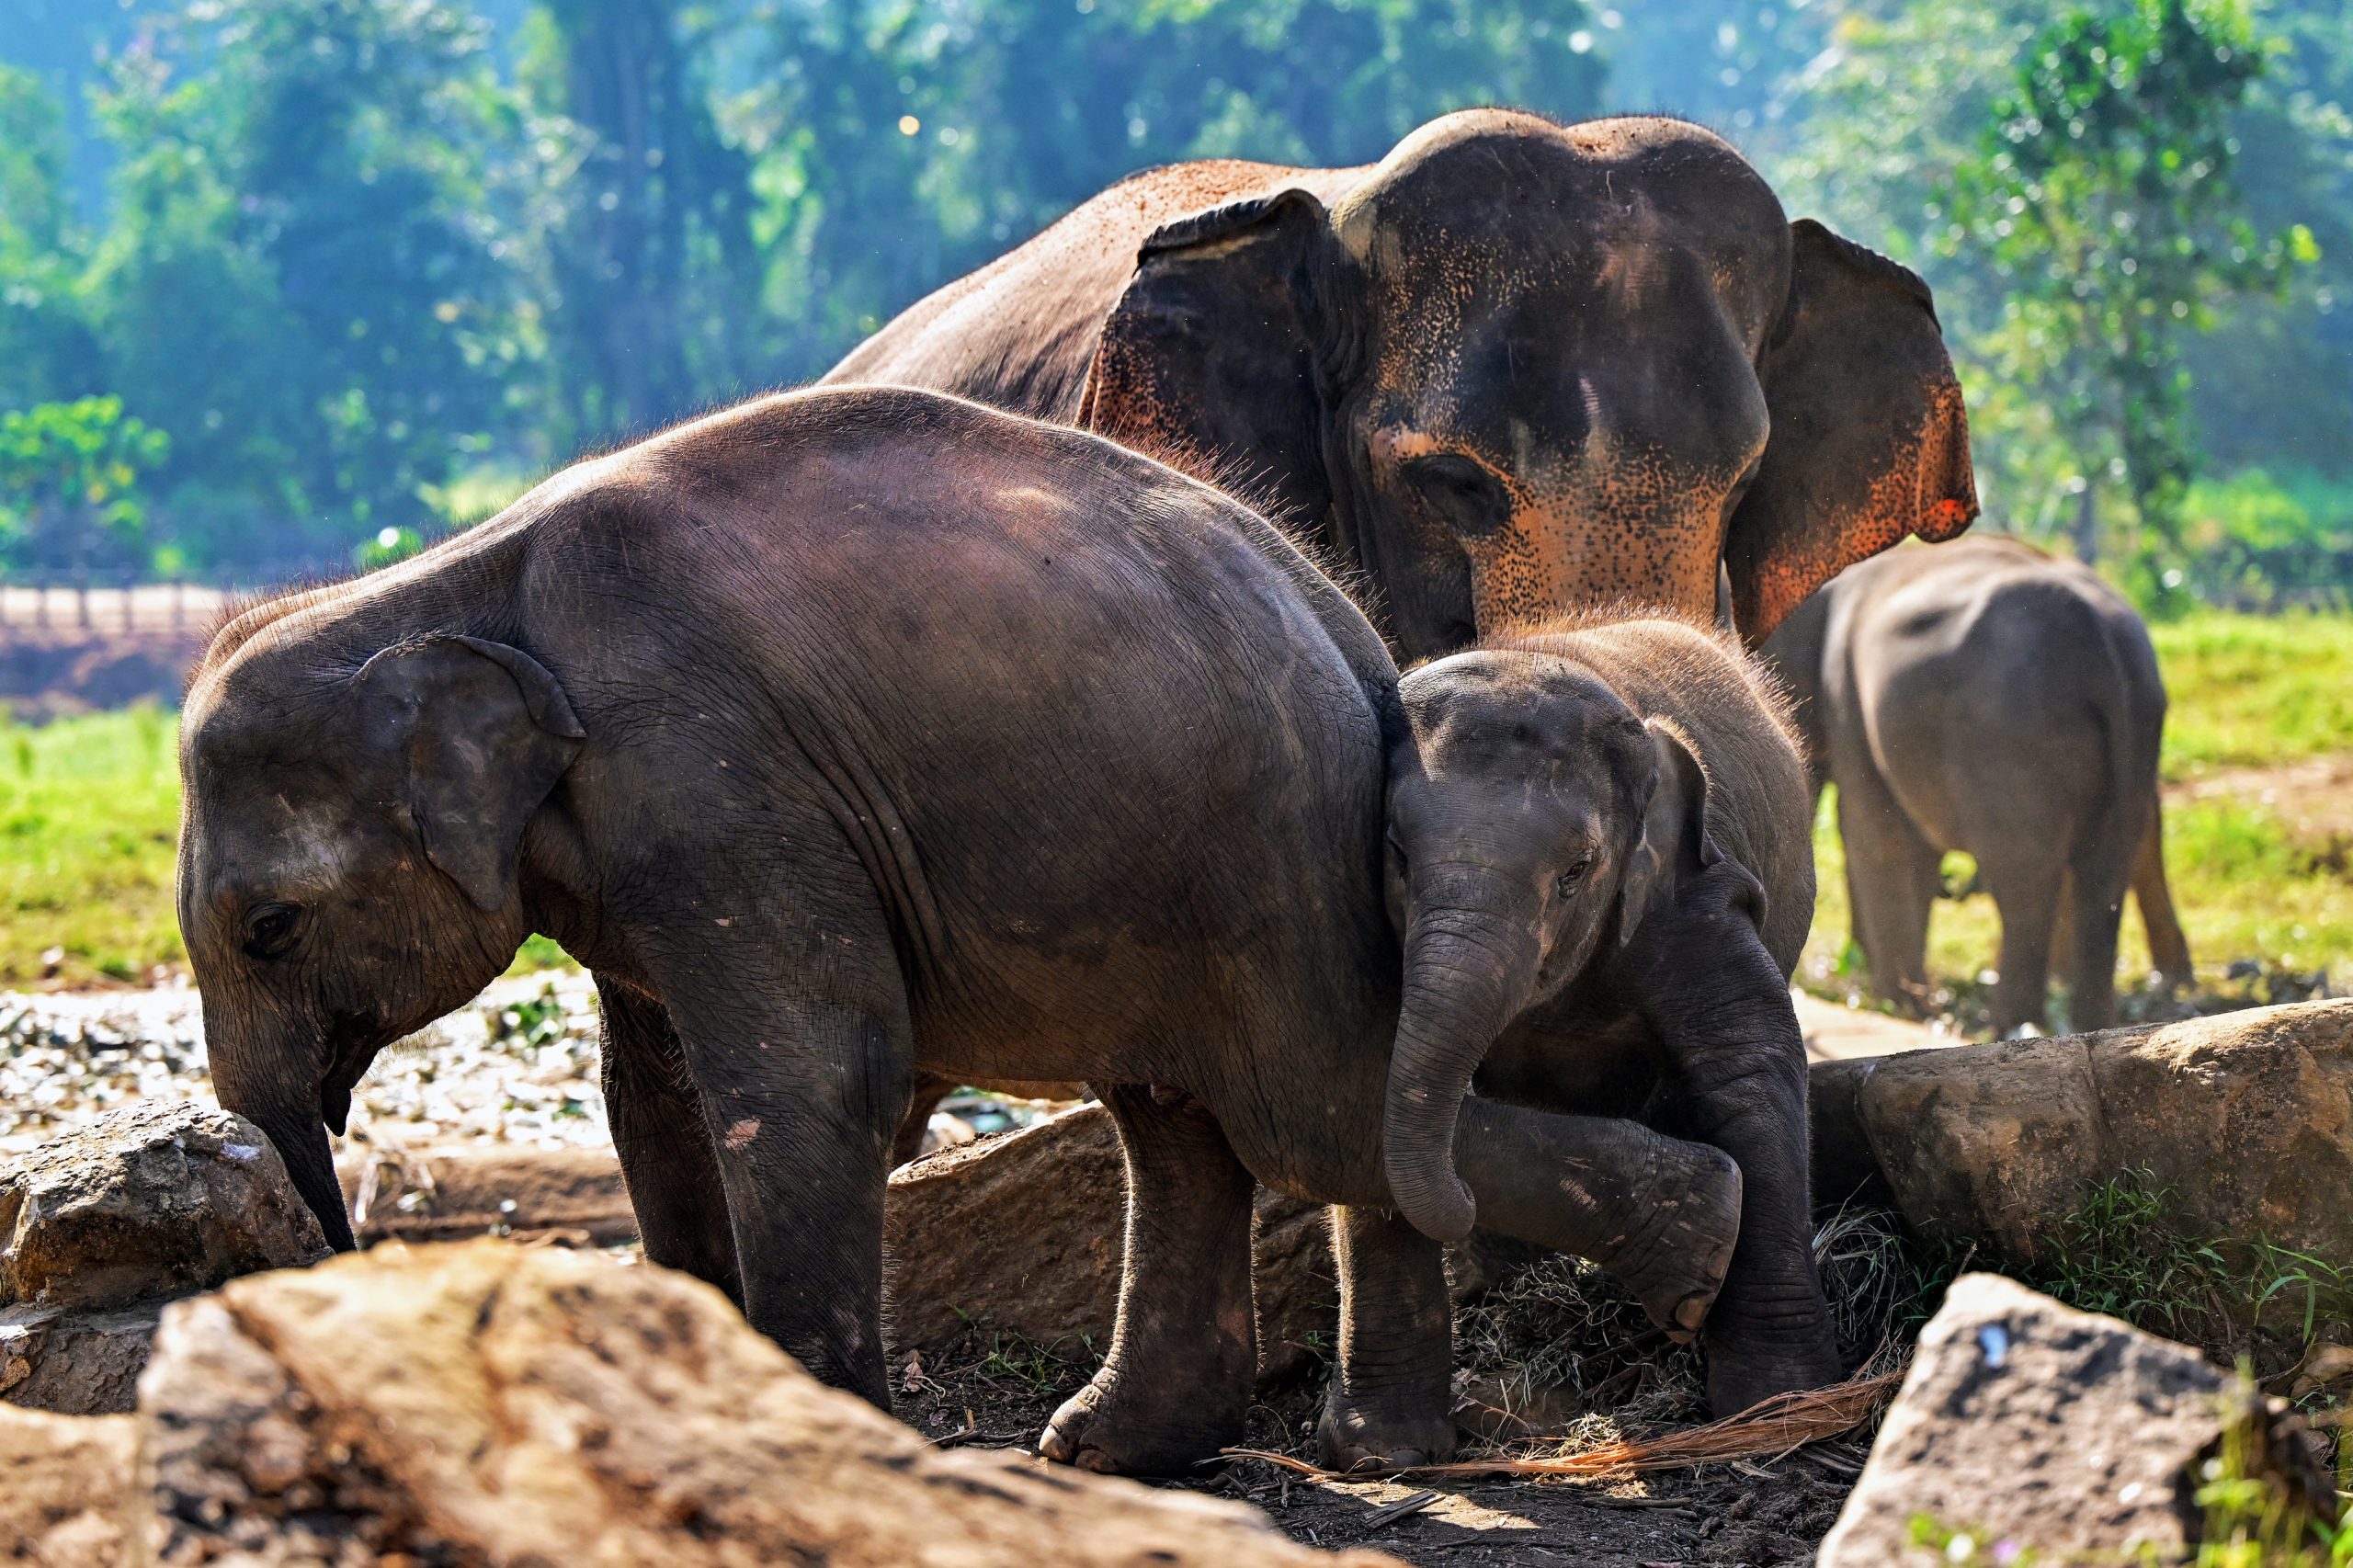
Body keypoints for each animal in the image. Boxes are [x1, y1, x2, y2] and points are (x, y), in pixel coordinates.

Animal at [177, 384, 1776, 1478]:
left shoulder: (704, 770)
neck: (444, 583)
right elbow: (655, 1093)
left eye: (267, 928)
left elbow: (809, 1077)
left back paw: (1702, 1238)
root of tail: (1354, 633)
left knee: (1315, 1112)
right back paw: (1112, 1446)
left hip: (1275, 856)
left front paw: (804, 1440)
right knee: (1184, 1122)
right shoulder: (637, 834)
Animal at [1760, 534, 2194, 1036]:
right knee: (2104, 872)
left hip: (2011, 733)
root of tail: (2103, 644)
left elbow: (1879, 837)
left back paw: (2010, 1026)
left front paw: (1899, 1004)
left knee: (2026, 876)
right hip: (2134, 729)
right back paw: (2089, 1024)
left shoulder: (1847, 694)